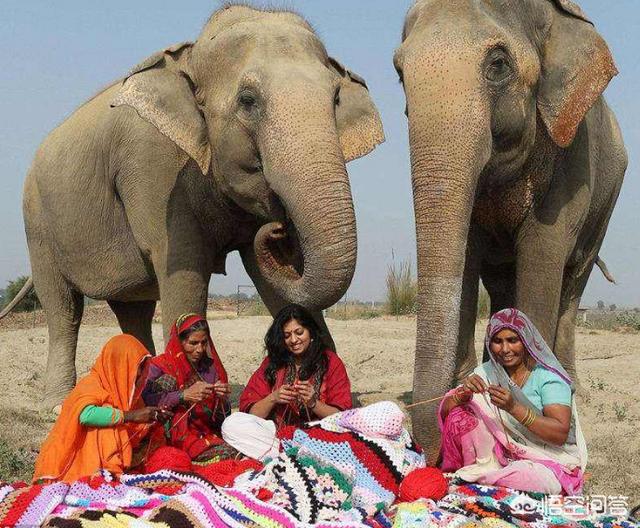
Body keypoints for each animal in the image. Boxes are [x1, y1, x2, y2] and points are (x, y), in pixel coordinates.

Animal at [18, 4, 380, 408]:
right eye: (248, 100)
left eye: (335, 99)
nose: (280, 228)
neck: (190, 57)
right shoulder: (155, 171)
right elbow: (185, 275)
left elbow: (275, 283)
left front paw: (342, 404)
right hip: (37, 222)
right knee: (62, 308)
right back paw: (58, 402)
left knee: (133, 311)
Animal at [396, 0, 624, 454]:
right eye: (398, 73)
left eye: (498, 65)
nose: (429, 445)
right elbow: (467, 252)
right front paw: (469, 387)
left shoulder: (574, 157)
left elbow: (543, 250)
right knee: (503, 282)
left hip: (608, 201)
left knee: (574, 281)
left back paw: (572, 385)